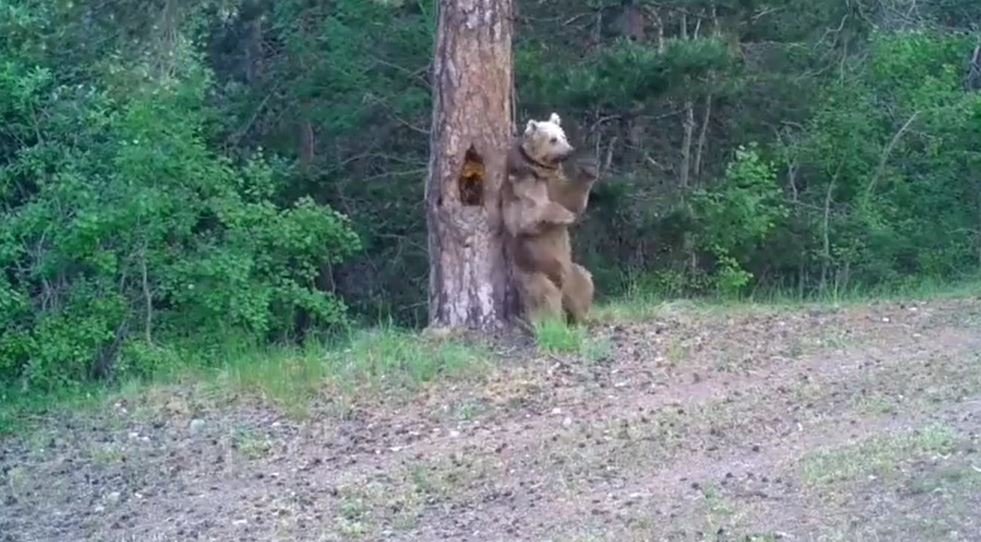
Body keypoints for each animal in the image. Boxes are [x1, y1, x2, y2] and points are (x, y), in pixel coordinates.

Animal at [506, 113, 596, 328]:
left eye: (563, 136)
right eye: (553, 139)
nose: (570, 151)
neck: (541, 171)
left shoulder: (555, 182)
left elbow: (570, 198)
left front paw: (589, 168)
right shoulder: (522, 184)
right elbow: (530, 214)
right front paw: (565, 216)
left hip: (571, 270)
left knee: (584, 282)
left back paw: (583, 317)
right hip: (534, 273)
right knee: (544, 297)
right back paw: (551, 323)